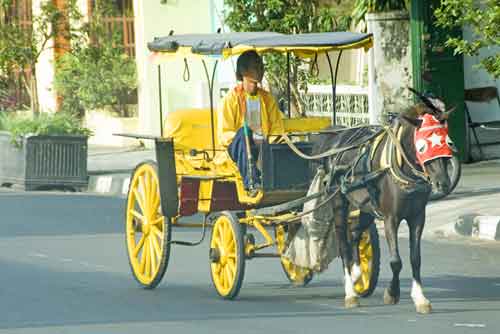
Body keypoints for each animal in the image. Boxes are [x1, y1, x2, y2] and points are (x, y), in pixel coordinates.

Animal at [314, 90, 456, 314]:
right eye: (422, 147)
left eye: (447, 142)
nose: (443, 183)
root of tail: (335, 137)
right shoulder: (391, 218)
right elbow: (396, 261)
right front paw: (392, 293)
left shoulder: (418, 217)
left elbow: (415, 259)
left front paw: (420, 298)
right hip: (338, 202)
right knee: (343, 243)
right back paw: (350, 293)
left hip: (366, 206)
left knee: (355, 234)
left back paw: (357, 274)